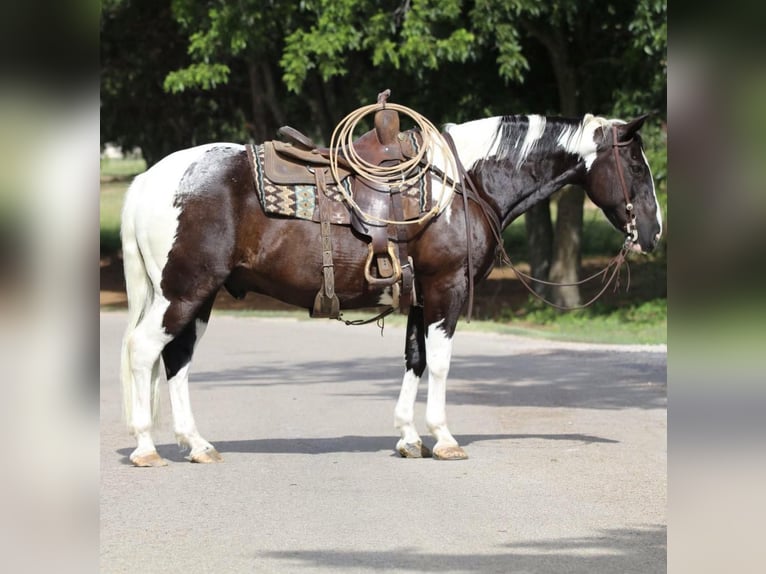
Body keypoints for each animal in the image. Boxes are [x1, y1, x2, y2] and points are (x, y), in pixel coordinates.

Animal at [121, 110, 664, 466]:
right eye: (637, 166)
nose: (653, 233)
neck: (464, 183)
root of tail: (148, 179)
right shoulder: (447, 289)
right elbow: (440, 364)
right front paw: (443, 438)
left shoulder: (420, 297)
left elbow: (415, 359)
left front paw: (407, 438)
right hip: (184, 292)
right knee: (145, 351)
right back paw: (147, 447)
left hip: (200, 297)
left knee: (177, 359)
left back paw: (197, 445)